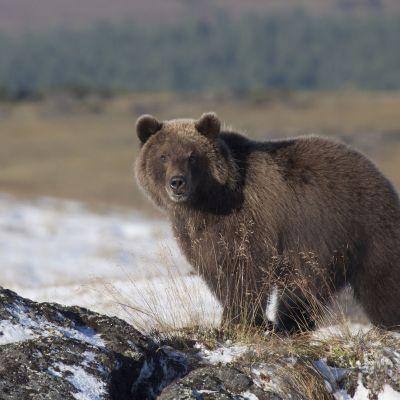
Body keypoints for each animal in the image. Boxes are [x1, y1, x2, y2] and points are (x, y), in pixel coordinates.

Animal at [134, 111, 400, 332]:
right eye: (163, 156)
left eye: (192, 156)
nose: (177, 182)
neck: (207, 203)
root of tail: (379, 174)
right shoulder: (198, 234)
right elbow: (216, 272)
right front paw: (247, 320)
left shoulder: (250, 222)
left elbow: (245, 271)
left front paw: (239, 319)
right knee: (305, 290)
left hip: (363, 229)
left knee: (380, 286)